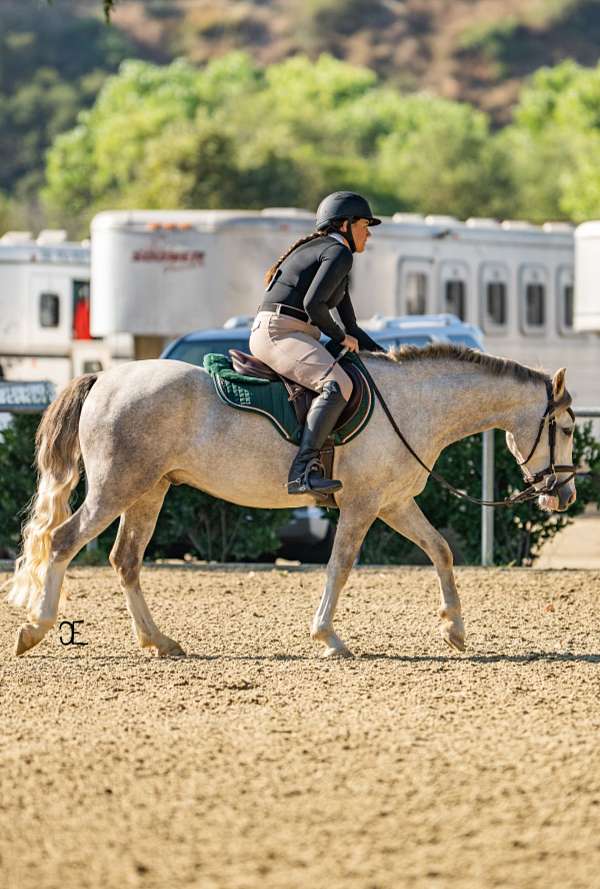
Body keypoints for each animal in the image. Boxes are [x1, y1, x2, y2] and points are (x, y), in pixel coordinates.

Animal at [5, 344, 576, 656]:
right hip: (116, 490)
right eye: (569, 428)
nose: (566, 494)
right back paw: (36, 630)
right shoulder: (362, 507)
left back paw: (159, 643)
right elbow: (339, 567)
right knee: (63, 542)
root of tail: (105, 376)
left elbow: (441, 551)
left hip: (149, 490)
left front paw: (453, 629)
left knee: (125, 560)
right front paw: (328, 637)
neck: (414, 405)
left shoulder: (393, 504)